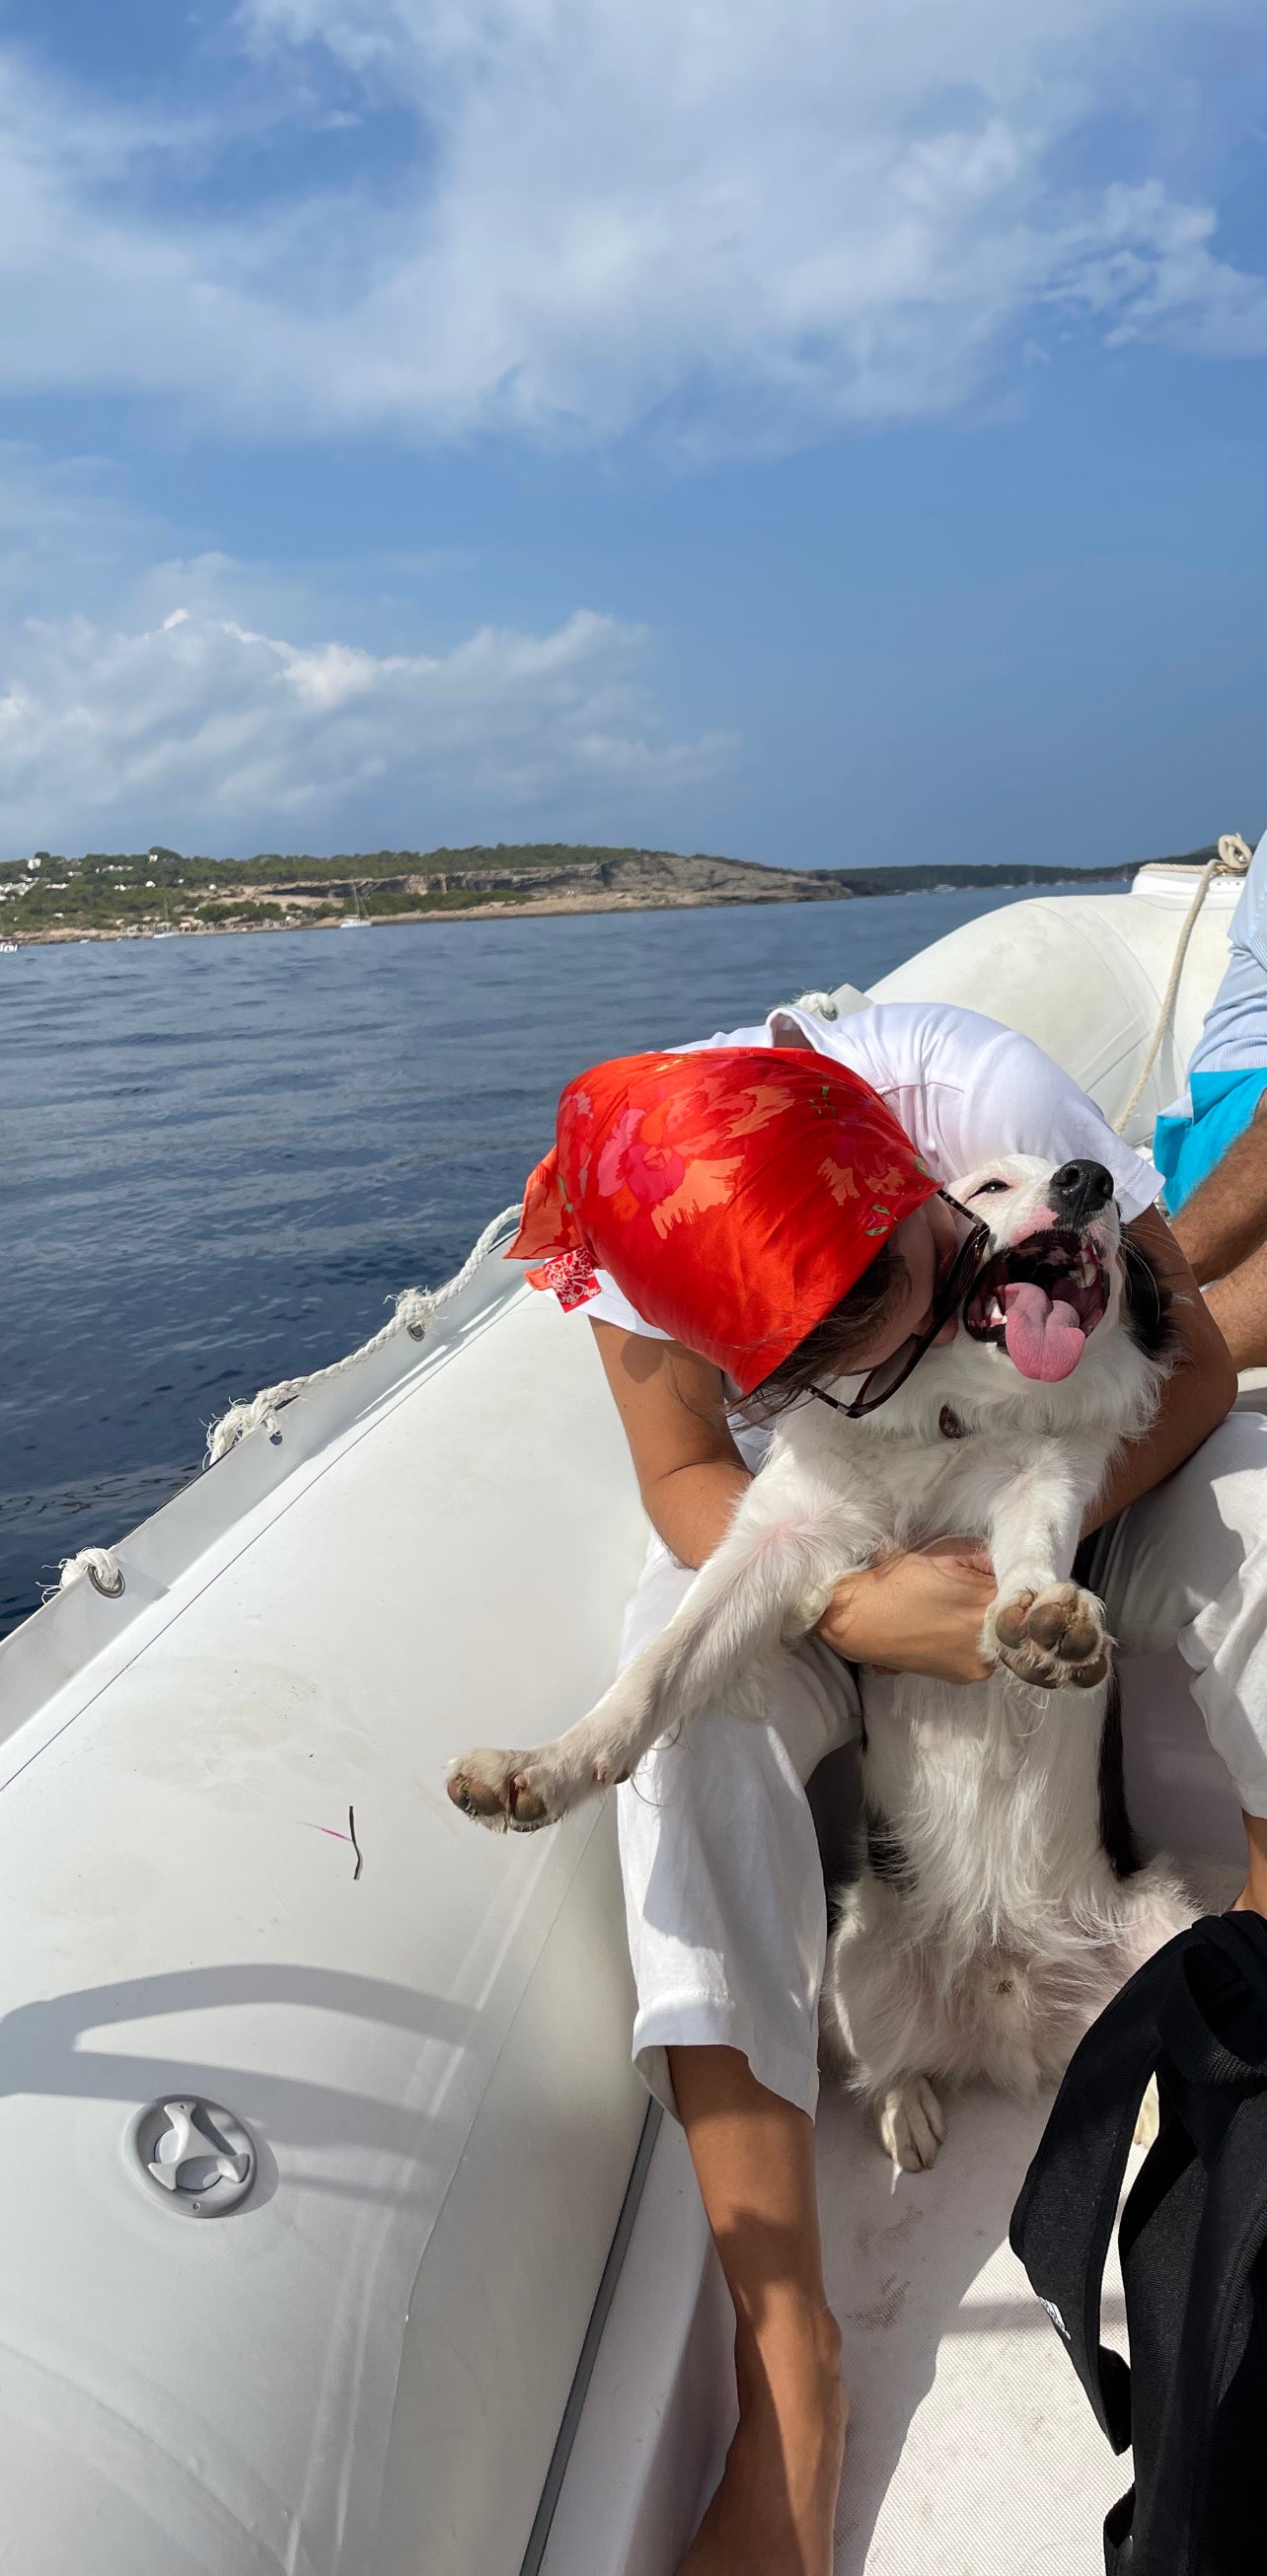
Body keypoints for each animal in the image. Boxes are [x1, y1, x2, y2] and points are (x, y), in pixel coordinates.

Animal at [450, 1158, 1194, 2164]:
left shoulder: (1043, 1480)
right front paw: (543, 1765)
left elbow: (1033, 1553)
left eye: (1111, 1203)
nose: (1093, 1177)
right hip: (854, 1960)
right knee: (884, 2062)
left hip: (1168, 1932)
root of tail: (1010, 2009)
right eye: (993, 1185)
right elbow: (659, 1667)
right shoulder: (781, 1537)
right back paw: (907, 2107)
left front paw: (1047, 1620)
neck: (959, 1416)